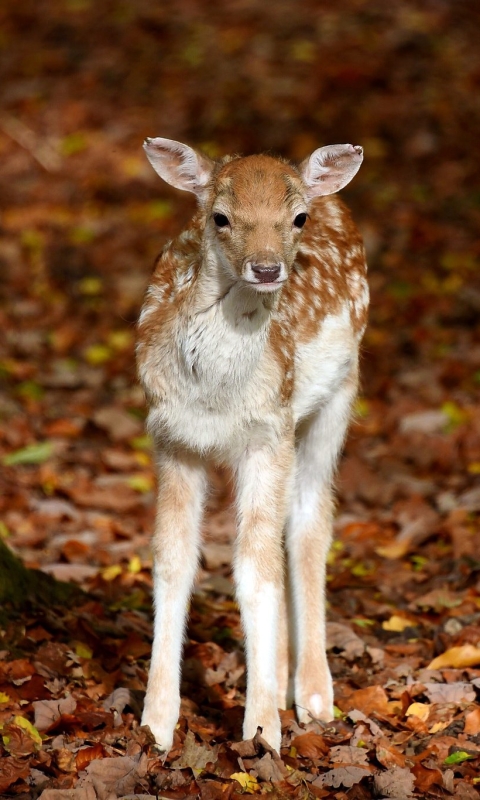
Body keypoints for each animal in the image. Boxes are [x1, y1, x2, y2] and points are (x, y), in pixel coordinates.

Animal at [135, 134, 368, 752]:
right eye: (220, 217)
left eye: (298, 218)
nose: (266, 268)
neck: (217, 399)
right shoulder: (171, 436)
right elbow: (174, 560)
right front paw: (156, 723)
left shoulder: (269, 429)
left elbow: (254, 568)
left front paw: (261, 729)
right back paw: (288, 685)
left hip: (336, 396)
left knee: (310, 522)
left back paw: (312, 696)